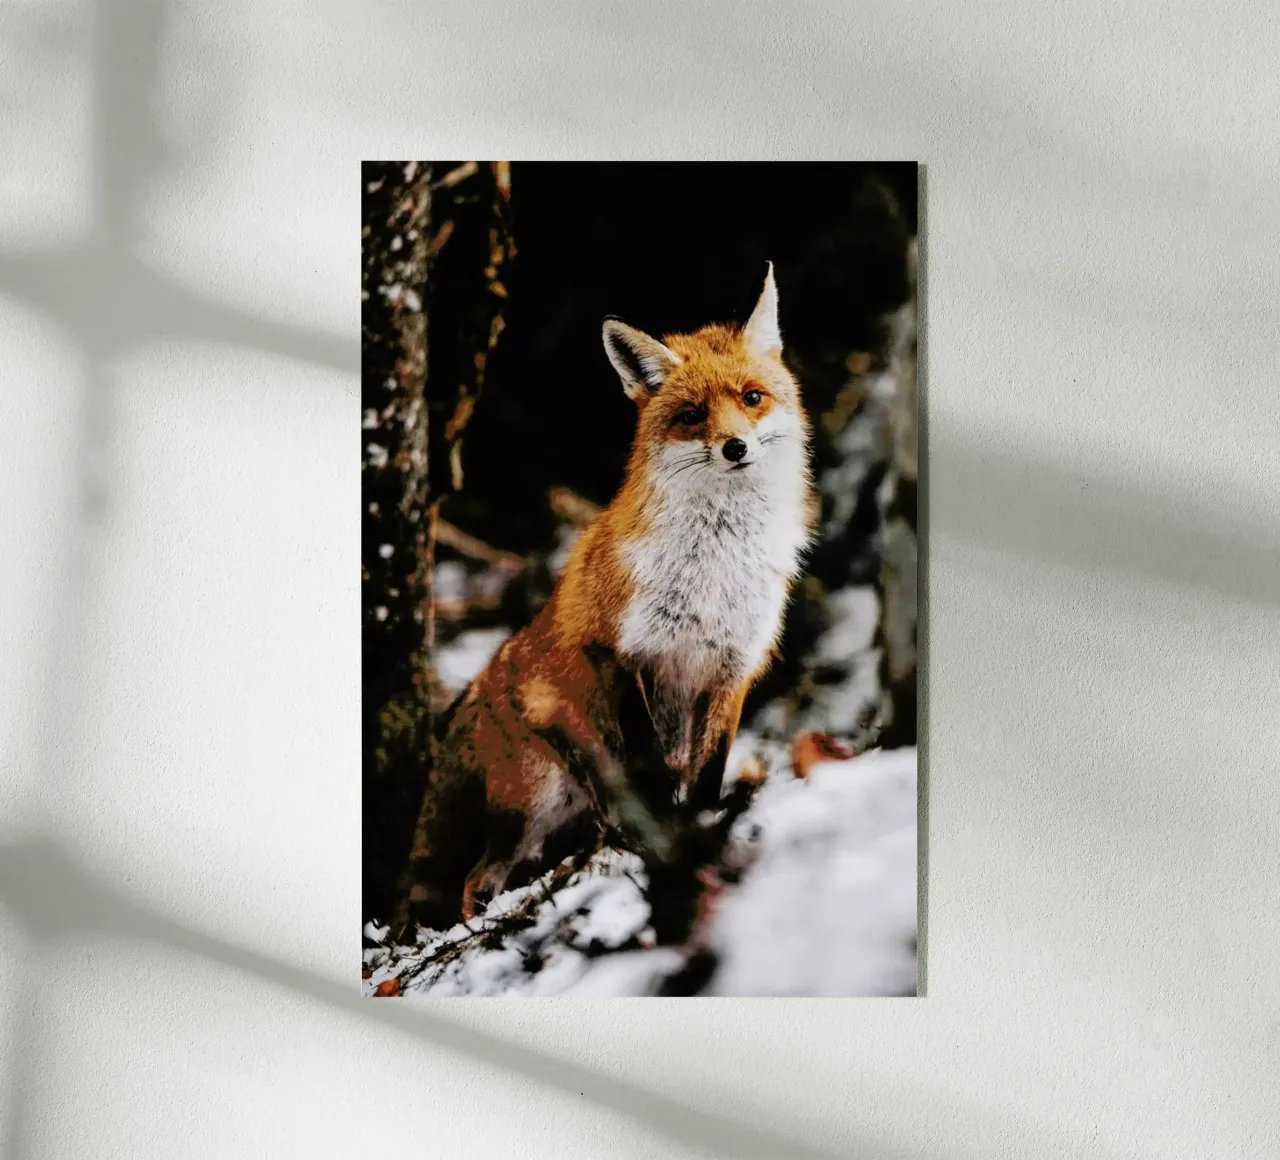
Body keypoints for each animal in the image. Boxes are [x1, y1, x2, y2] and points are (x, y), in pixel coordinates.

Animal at [405, 264, 815, 929]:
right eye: (692, 415)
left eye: (752, 397)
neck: (714, 570)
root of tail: (480, 683)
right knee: (475, 878)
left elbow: (707, 776)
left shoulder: (732, 670)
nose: (735, 448)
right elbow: (651, 768)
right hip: (533, 804)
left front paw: (700, 831)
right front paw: (673, 846)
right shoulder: (623, 654)